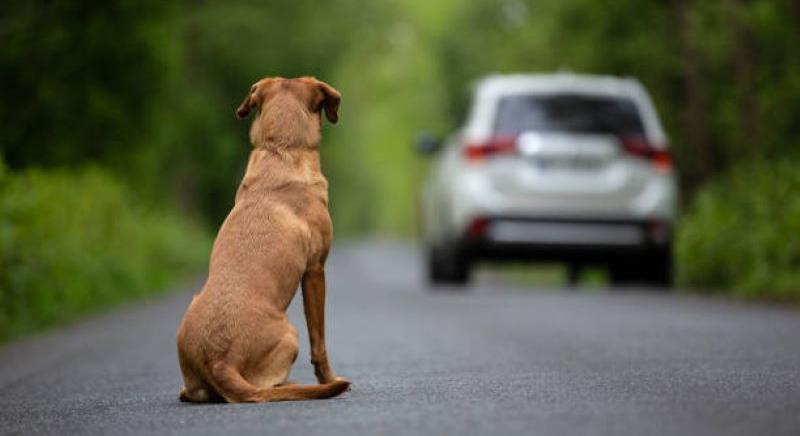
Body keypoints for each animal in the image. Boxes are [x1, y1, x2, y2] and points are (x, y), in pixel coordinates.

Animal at [177, 76, 348, 404]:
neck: (280, 148)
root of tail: (219, 362)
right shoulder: (315, 270)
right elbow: (319, 340)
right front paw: (329, 378)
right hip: (290, 333)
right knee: (268, 386)